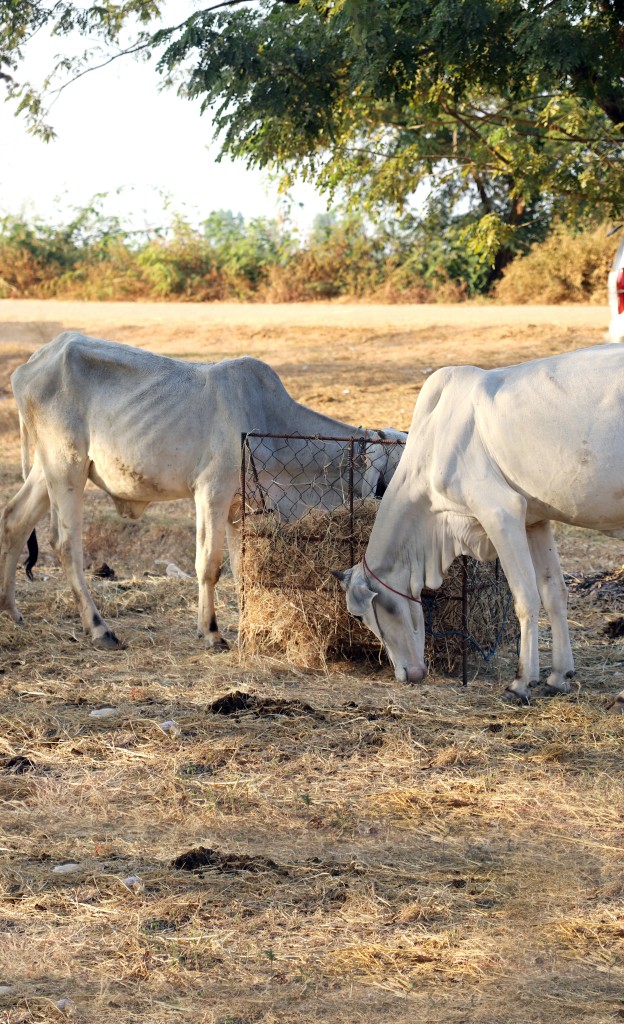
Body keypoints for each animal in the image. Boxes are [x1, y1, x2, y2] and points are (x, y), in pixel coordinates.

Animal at [0, 333, 403, 647]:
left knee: (14, 521)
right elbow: (209, 565)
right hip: (66, 466)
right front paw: (211, 632)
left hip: (48, 470)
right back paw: (99, 628)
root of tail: (31, 364)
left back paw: (9, 609)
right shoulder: (212, 492)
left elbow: (243, 573)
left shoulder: (239, 509)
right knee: (65, 544)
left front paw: (250, 629)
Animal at [336, 344, 624, 704]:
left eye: (359, 614)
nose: (404, 674)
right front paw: (559, 676)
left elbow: (525, 596)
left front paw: (521, 682)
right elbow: (553, 592)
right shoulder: (535, 520)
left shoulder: (500, 511)